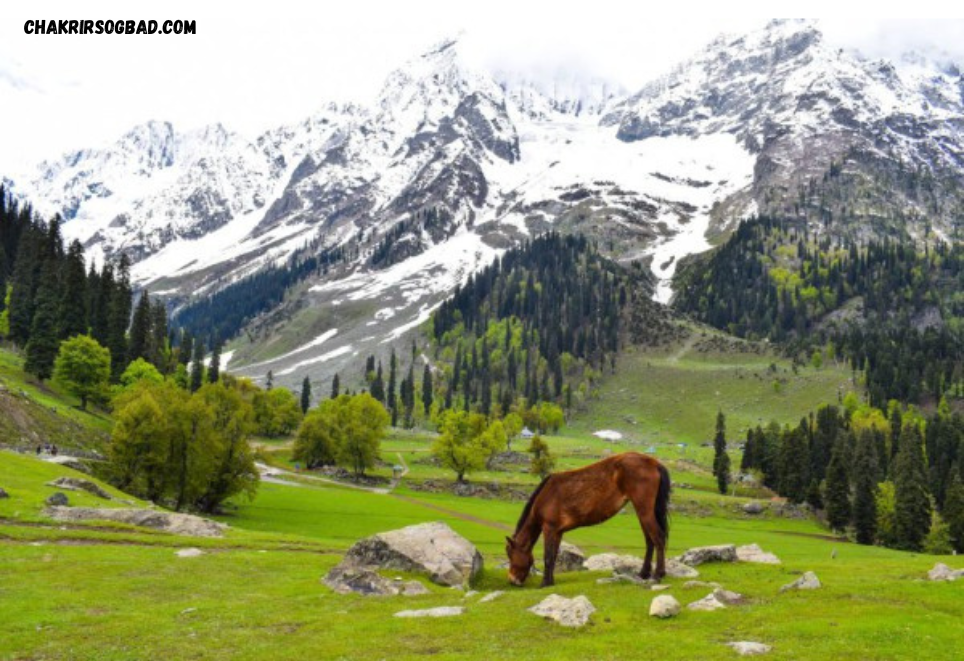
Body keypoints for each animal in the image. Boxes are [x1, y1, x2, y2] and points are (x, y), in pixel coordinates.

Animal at [504, 452, 672, 584]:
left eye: (510, 554)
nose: (512, 580)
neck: (546, 495)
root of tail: (654, 463)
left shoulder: (549, 529)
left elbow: (548, 556)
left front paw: (544, 583)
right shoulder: (558, 532)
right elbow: (554, 556)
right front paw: (550, 581)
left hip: (644, 510)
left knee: (658, 538)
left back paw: (658, 574)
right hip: (642, 512)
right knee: (649, 540)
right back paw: (643, 573)